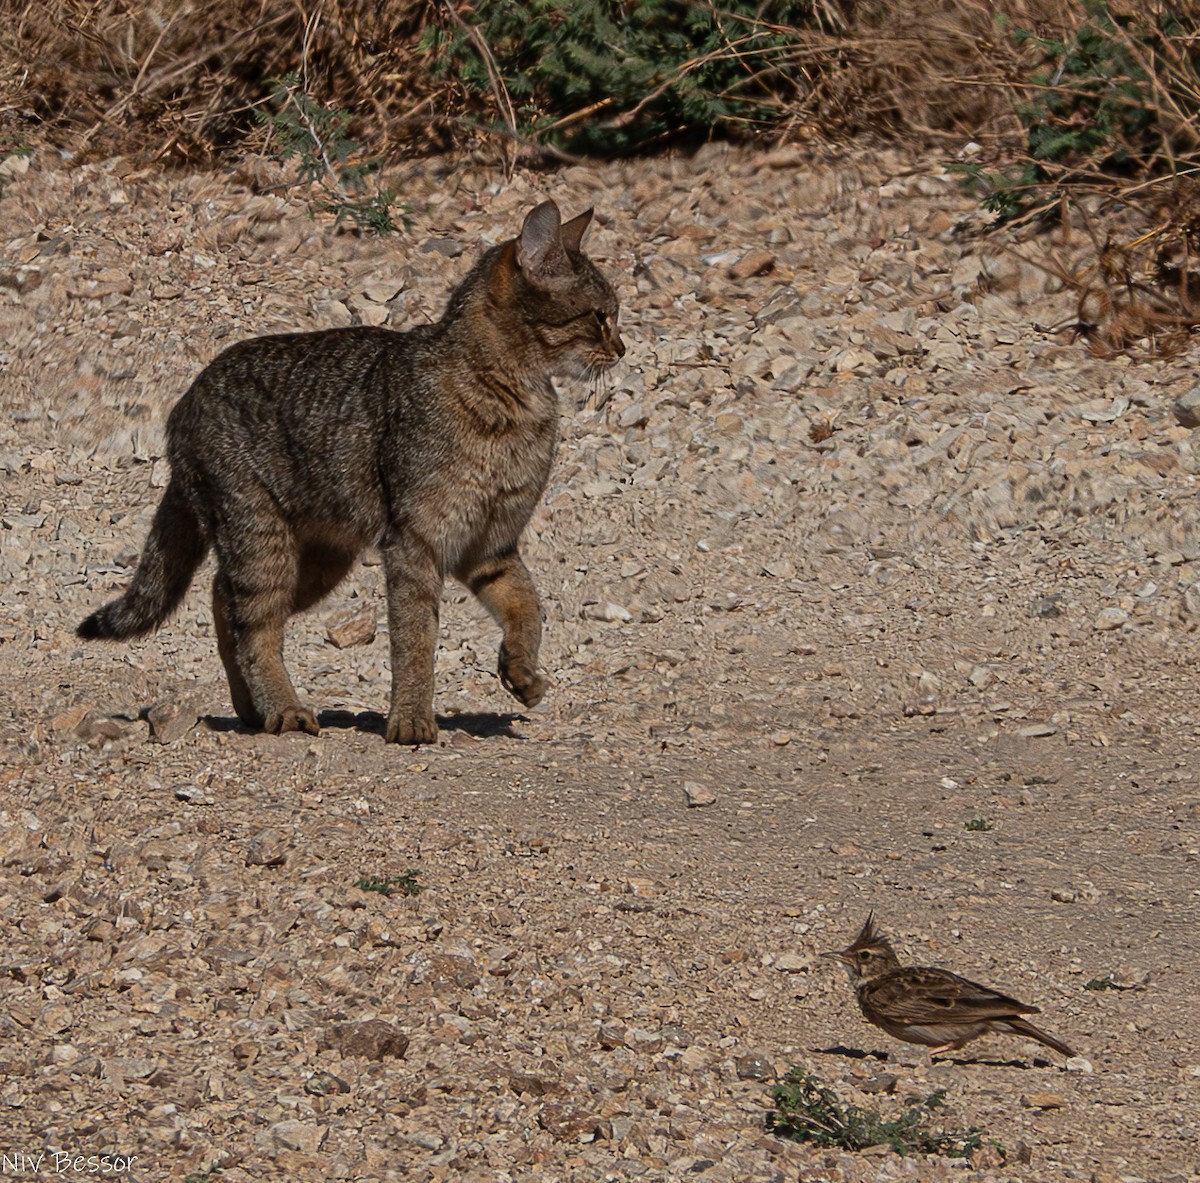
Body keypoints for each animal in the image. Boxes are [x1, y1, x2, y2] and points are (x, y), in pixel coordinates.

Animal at [78, 197, 624, 743]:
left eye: (614, 316)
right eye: (600, 316)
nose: (622, 350)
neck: (511, 397)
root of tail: (183, 404)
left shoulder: (491, 544)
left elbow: (527, 604)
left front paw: (522, 671)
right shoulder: (416, 541)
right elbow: (415, 641)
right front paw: (410, 718)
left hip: (319, 558)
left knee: (222, 598)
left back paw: (252, 709)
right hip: (261, 539)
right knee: (253, 624)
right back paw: (283, 710)